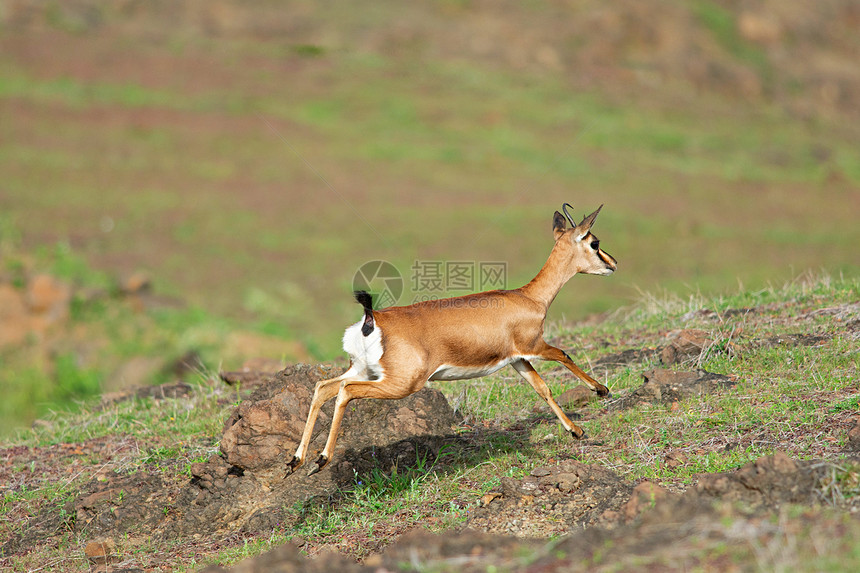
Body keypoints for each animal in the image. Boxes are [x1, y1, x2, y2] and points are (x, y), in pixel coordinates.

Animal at [288, 201, 620, 474]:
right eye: (594, 242)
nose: (613, 263)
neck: (529, 298)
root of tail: (372, 318)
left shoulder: (518, 359)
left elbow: (542, 389)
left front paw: (575, 430)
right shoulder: (534, 346)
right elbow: (565, 354)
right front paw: (601, 390)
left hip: (364, 370)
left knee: (323, 387)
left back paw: (296, 461)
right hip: (399, 383)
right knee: (345, 390)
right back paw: (321, 460)